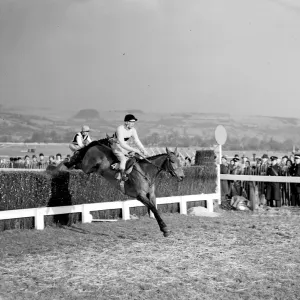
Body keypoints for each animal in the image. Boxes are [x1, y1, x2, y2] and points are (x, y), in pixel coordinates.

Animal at [53, 138, 185, 237]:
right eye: (172, 161)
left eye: (180, 161)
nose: (182, 176)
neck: (145, 172)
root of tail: (97, 145)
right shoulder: (140, 195)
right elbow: (153, 208)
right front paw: (165, 229)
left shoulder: (151, 194)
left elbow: (155, 208)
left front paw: (163, 228)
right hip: (87, 165)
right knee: (78, 161)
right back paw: (65, 163)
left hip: (91, 168)